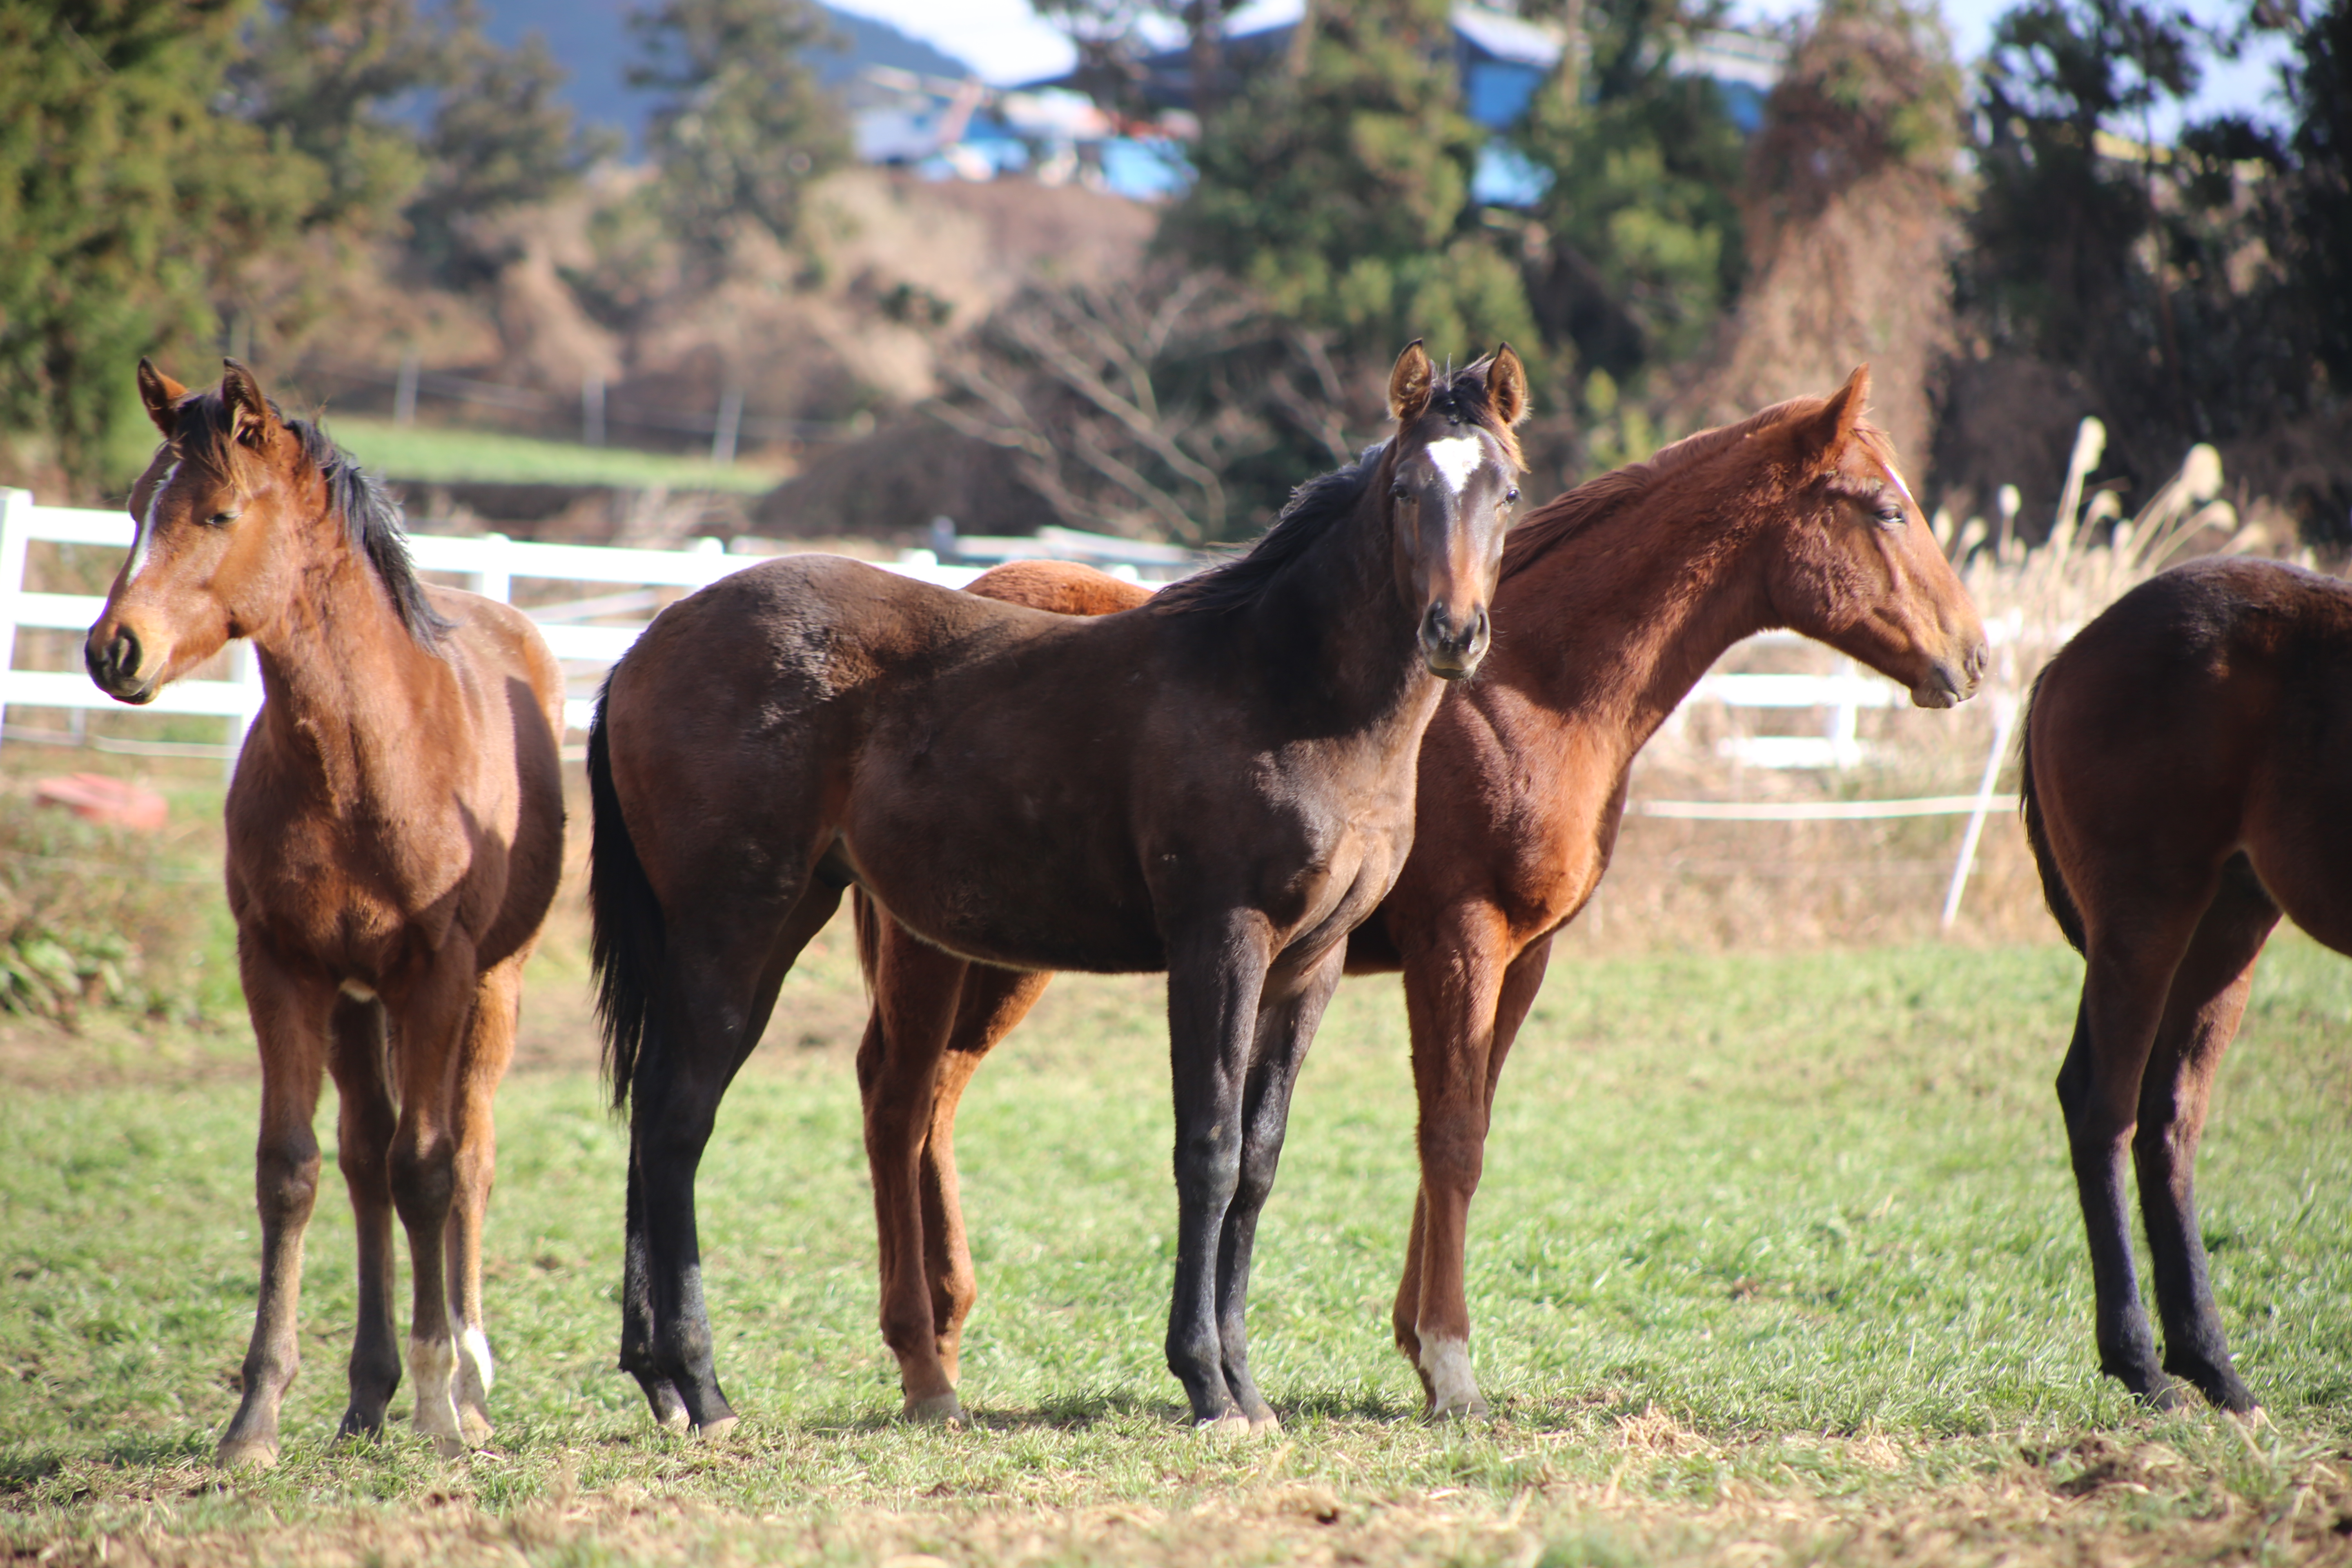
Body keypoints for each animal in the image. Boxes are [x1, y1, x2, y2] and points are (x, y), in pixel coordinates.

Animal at [84, 362, 569, 1467]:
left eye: (218, 512)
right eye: (133, 508)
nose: (113, 650)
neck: (360, 758)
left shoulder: (438, 972)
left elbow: (431, 1170)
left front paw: (442, 1410)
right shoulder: (282, 967)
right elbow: (293, 1170)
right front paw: (255, 1417)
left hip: (494, 986)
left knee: (465, 1153)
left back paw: (467, 1382)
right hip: (357, 1003)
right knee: (364, 1158)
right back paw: (366, 1394)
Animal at [592, 343, 1524, 1439]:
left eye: (1506, 492)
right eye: (1406, 487)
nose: (1454, 633)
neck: (1285, 692)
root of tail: (645, 643)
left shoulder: (1311, 962)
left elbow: (1257, 1160)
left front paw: (1248, 1389)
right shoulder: (1219, 939)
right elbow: (1206, 1148)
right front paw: (1205, 1384)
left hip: (763, 922)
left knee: (656, 1110)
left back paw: (662, 1382)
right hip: (738, 924)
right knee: (677, 1120)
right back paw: (702, 1385)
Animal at [846, 369, 1985, 1420]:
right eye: (1884, 509)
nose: (1971, 657)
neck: (1526, 693)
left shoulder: (1522, 953)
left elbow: (1463, 1120)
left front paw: (1413, 1340)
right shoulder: (1457, 938)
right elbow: (1449, 1135)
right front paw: (1447, 1362)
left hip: (999, 950)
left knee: (937, 1094)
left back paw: (947, 1331)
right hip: (935, 942)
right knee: (897, 1096)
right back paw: (921, 1358)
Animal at [2013, 557, 2352, 1420]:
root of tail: (2071, 652)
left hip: (2229, 922)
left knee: (2169, 1120)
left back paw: (2212, 1366)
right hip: (2149, 916)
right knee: (2105, 1110)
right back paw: (2142, 1363)